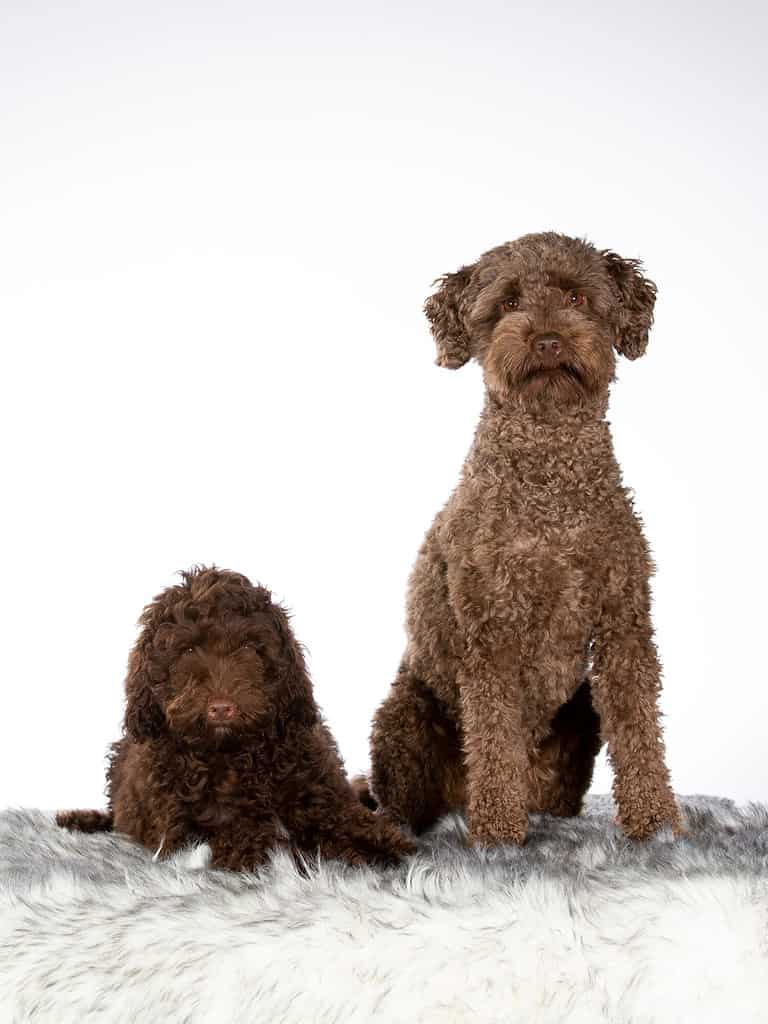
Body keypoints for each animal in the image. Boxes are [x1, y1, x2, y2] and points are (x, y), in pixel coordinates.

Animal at [57, 569, 415, 872]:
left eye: (249, 647)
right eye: (188, 651)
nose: (221, 708)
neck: (233, 754)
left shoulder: (317, 784)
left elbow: (339, 814)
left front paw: (374, 840)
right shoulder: (181, 826)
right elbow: (243, 832)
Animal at [370, 234, 684, 847]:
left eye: (576, 296)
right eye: (509, 303)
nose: (547, 339)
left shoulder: (625, 623)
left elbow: (639, 727)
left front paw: (657, 823)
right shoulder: (490, 633)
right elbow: (494, 736)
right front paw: (497, 833)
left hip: (579, 713)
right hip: (406, 715)